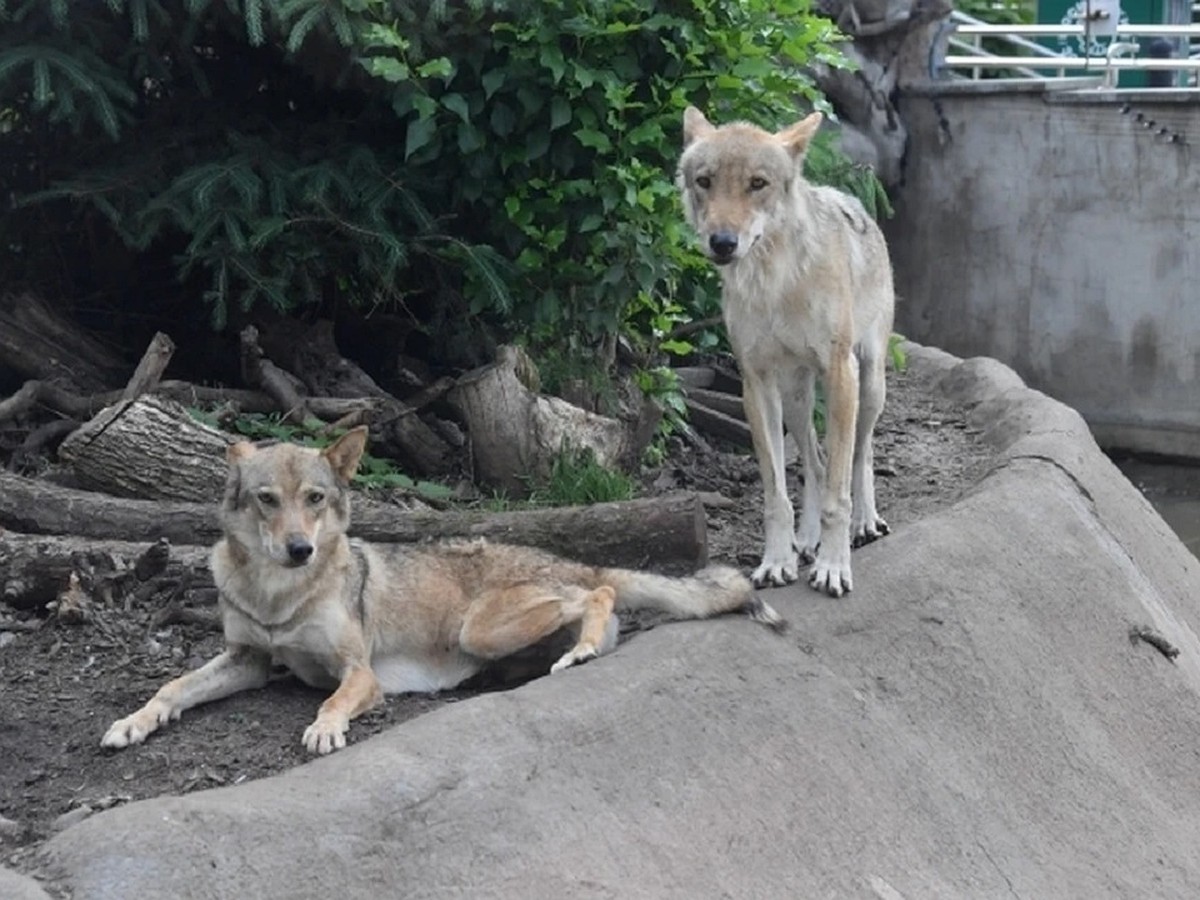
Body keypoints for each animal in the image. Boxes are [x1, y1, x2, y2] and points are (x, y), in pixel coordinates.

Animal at [681, 107, 897, 600]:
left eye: (757, 183)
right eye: (705, 181)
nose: (723, 242)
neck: (773, 282)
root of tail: (853, 201)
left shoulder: (840, 375)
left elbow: (839, 491)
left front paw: (834, 568)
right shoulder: (756, 383)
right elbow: (777, 494)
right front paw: (777, 562)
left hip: (869, 385)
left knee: (862, 454)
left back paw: (864, 523)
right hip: (797, 400)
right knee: (814, 462)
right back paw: (807, 539)